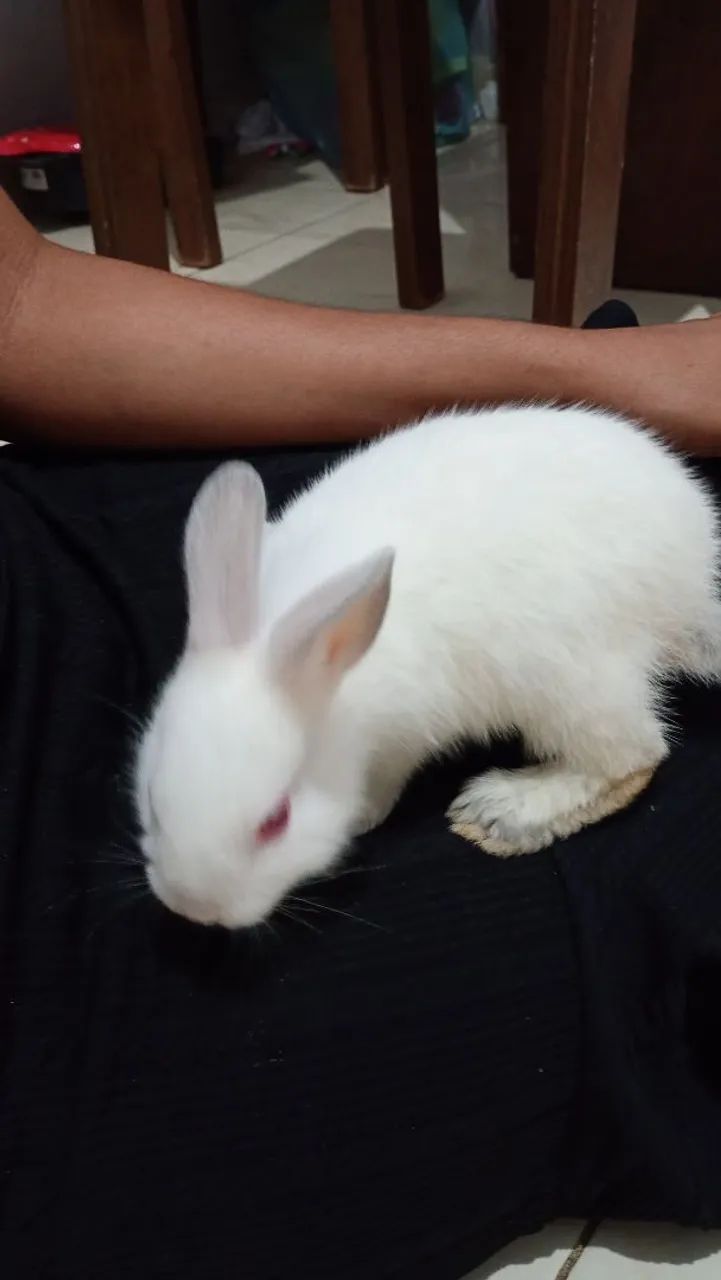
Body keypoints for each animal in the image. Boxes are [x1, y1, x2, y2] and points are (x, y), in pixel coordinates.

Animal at [135, 404, 721, 928]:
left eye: (276, 821)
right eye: (153, 802)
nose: (193, 908)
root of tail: (691, 582)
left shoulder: (405, 735)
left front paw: (364, 817)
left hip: (571, 681)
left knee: (634, 756)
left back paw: (503, 811)